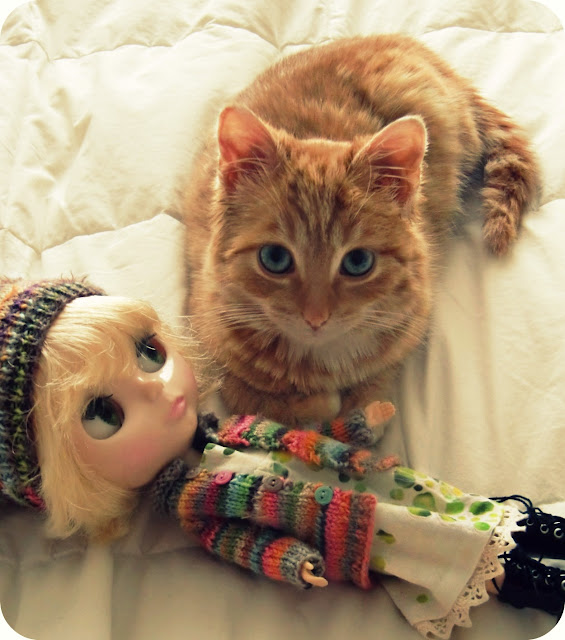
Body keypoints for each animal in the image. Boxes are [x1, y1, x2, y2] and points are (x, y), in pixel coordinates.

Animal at [183, 34, 539, 424]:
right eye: (274, 258)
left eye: (358, 263)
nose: (316, 318)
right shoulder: (207, 333)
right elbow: (248, 396)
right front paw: (318, 403)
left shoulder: (412, 320)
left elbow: (379, 379)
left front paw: (363, 404)